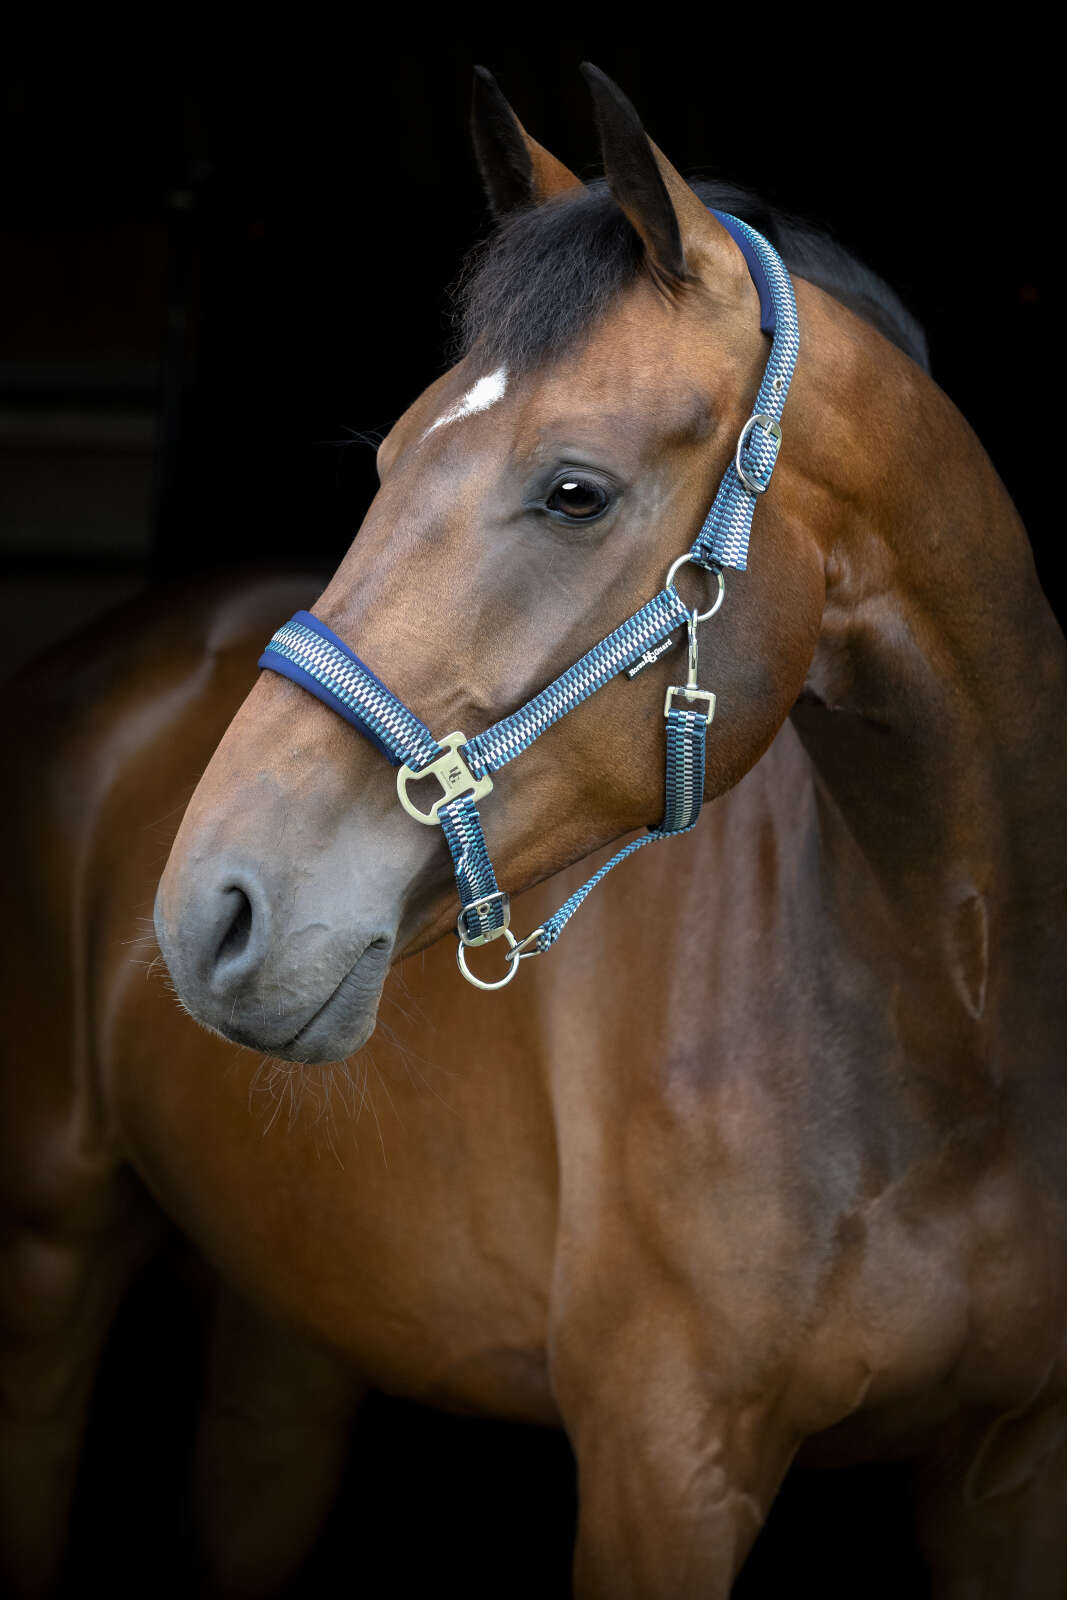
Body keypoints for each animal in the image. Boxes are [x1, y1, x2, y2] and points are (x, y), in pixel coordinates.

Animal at [3, 62, 1065, 1598]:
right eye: (386, 457)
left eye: (573, 489)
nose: (211, 909)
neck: (959, 1032)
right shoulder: (657, 1470)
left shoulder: (1013, 1473)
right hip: (46, 1266)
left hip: (290, 1330)